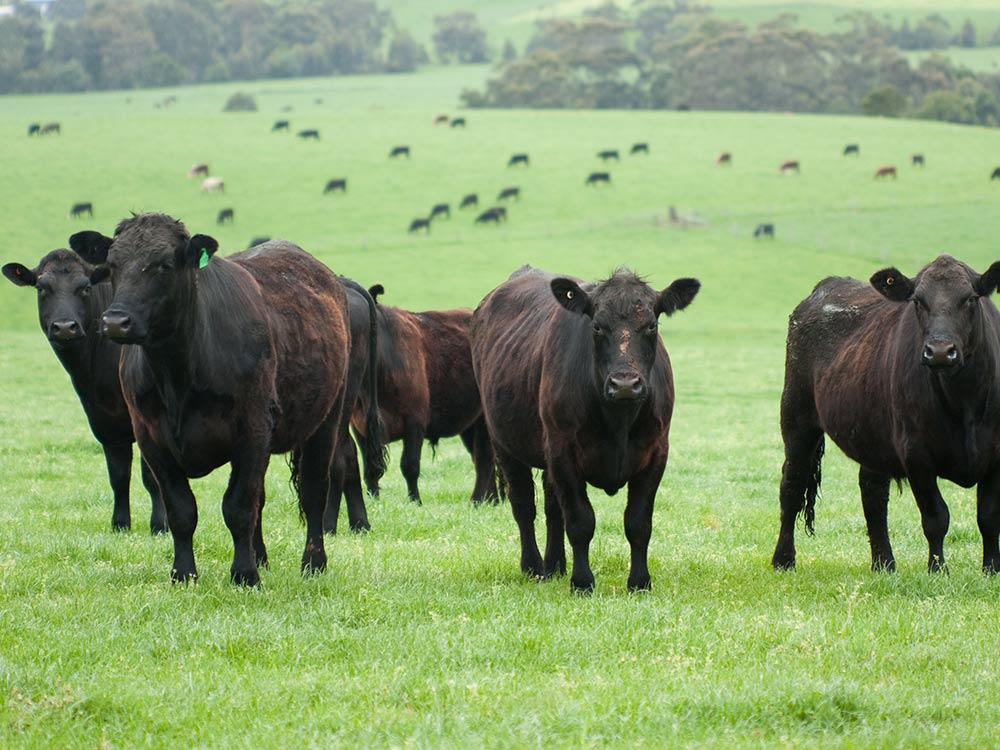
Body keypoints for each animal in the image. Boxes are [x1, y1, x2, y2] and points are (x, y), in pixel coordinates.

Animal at [1, 250, 166, 532]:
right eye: (41, 288)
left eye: (86, 288)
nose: (65, 327)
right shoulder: (103, 419)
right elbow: (118, 475)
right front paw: (120, 524)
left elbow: (152, 476)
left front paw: (160, 525)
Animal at [70, 213, 352, 588]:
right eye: (112, 264)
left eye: (164, 265)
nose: (115, 321)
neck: (177, 375)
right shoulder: (151, 438)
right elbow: (181, 510)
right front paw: (184, 573)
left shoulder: (252, 430)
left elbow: (238, 507)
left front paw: (244, 575)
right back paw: (262, 557)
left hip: (326, 420)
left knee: (313, 493)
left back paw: (312, 563)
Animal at [348, 284, 496, 508]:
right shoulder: (360, 427)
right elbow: (370, 469)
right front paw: (373, 501)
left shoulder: (415, 420)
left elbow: (409, 465)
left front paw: (415, 501)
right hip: (470, 424)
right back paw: (493, 500)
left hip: (485, 421)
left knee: (484, 460)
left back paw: (477, 501)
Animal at [470, 266, 700, 592]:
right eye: (597, 326)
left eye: (652, 325)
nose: (625, 384)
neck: (618, 421)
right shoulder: (563, 452)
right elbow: (580, 521)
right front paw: (582, 582)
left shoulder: (656, 452)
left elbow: (638, 522)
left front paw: (640, 582)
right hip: (504, 442)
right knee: (524, 505)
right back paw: (534, 567)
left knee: (552, 507)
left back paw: (555, 564)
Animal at [772, 256, 1000, 580]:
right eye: (917, 301)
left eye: (969, 298)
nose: (940, 351)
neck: (964, 403)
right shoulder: (916, 454)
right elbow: (936, 517)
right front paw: (937, 570)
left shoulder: (995, 457)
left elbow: (989, 517)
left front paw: (992, 570)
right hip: (796, 417)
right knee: (792, 485)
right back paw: (783, 559)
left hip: (871, 434)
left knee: (873, 494)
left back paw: (884, 564)